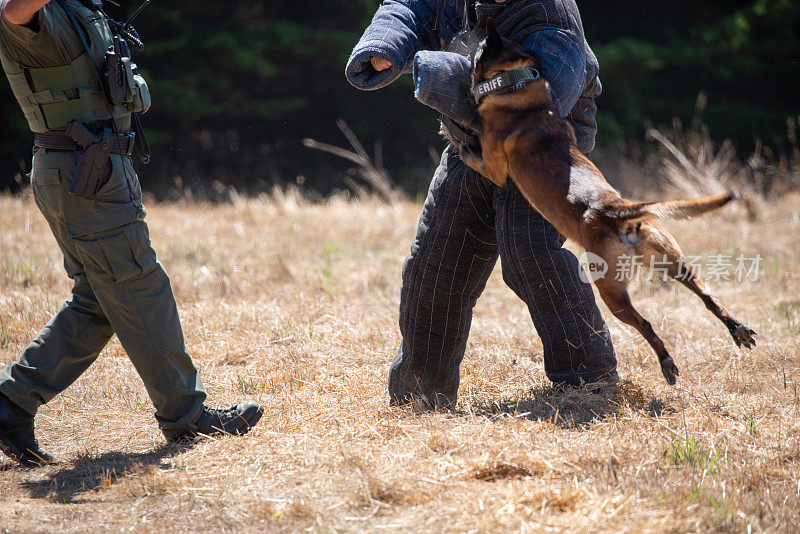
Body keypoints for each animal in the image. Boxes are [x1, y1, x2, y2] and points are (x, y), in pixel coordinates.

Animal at [460, 24, 760, 386]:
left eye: (479, 43)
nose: (467, 30)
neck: (518, 89)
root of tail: (614, 211)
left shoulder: (495, 169)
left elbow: (472, 152)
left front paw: (456, 138)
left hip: (610, 291)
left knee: (645, 324)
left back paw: (667, 363)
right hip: (673, 261)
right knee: (707, 297)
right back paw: (737, 330)